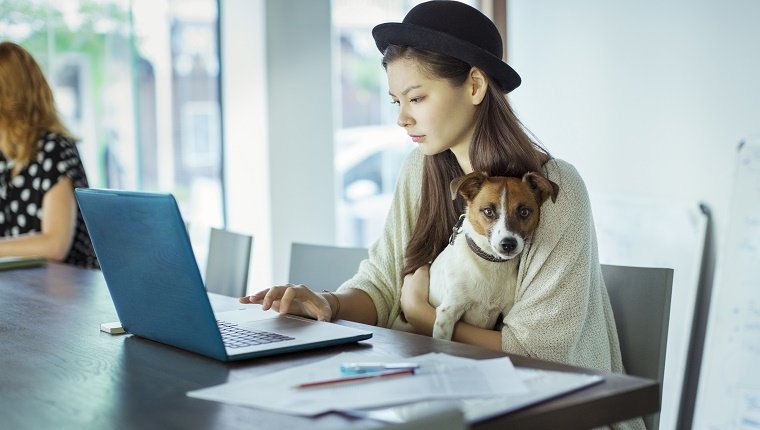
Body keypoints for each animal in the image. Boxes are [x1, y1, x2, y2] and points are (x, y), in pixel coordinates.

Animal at [428, 170, 560, 340]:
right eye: (488, 211)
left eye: (524, 211)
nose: (508, 244)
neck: (491, 265)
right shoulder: (448, 312)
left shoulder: (507, 311)